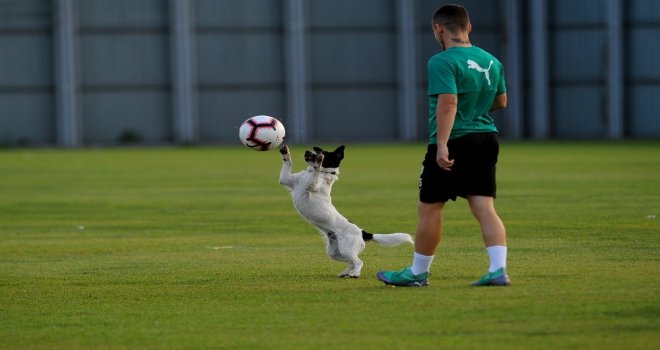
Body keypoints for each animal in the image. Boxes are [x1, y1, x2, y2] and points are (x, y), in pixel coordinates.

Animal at [278, 144, 412, 278]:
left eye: (323, 153)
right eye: (317, 151)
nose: (307, 152)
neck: (319, 173)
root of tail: (361, 232)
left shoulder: (312, 185)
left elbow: (316, 172)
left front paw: (318, 163)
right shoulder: (286, 179)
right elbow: (288, 163)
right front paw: (285, 151)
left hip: (346, 250)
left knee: (359, 262)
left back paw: (355, 274)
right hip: (335, 252)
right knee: (351, 262)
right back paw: (345, 273)